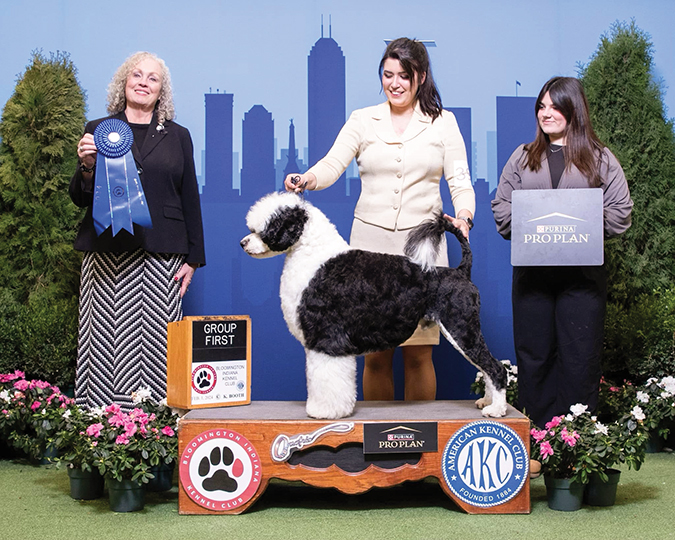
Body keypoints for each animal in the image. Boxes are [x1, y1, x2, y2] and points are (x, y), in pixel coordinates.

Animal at [240, 191, 507, 420]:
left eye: (268, 227)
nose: (243, 242)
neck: (314, 258)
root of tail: (461, 271)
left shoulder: (328, 339)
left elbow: (326, 379)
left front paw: (325, 412)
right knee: (485, 367)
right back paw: (486, 402)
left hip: (461, 328)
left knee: (495, 368)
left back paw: (496, 410)